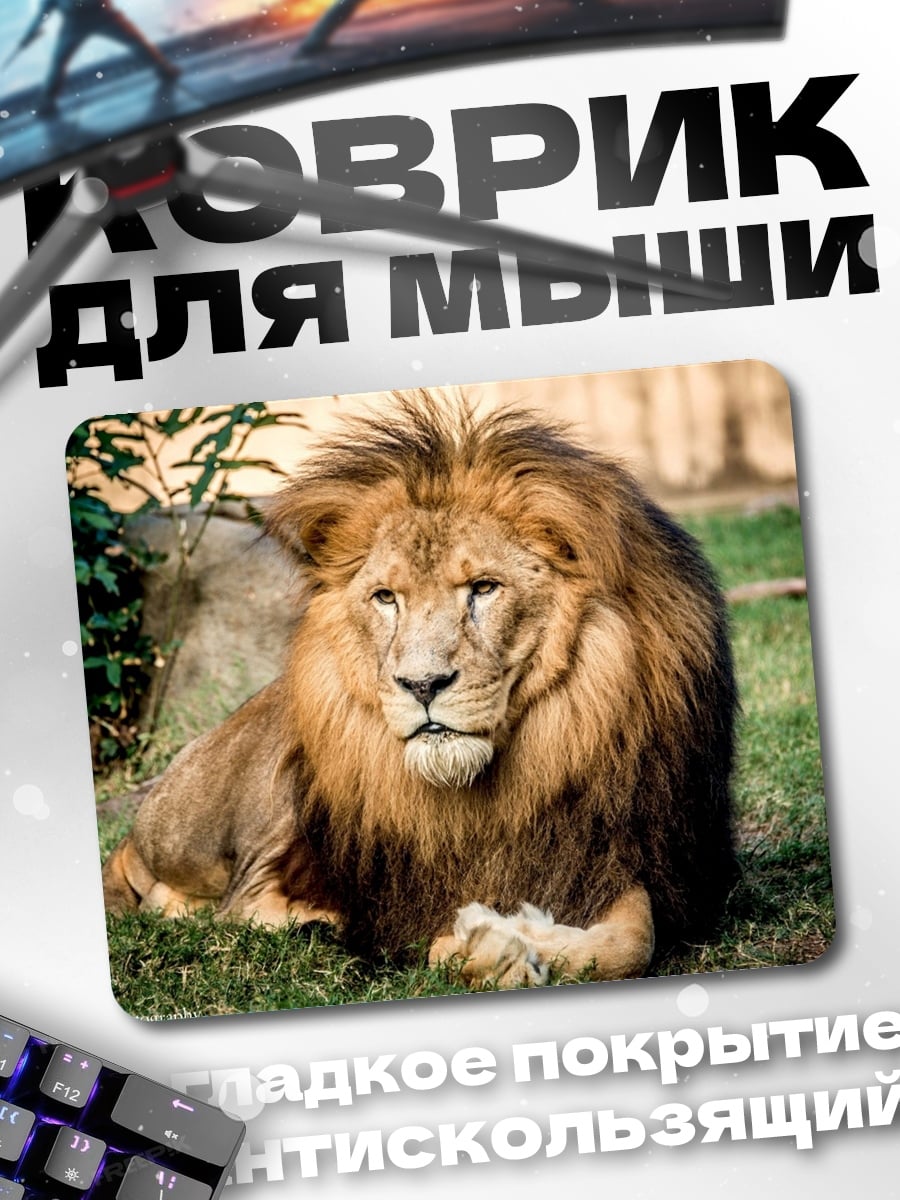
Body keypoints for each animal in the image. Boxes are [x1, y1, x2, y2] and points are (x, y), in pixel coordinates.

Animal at [102, 393, 738, 988]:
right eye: (387, 598)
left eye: (484, 587)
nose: (421, 684)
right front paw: (474, 945)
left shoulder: (609, 853)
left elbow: (632, 940)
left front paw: (509, 940)